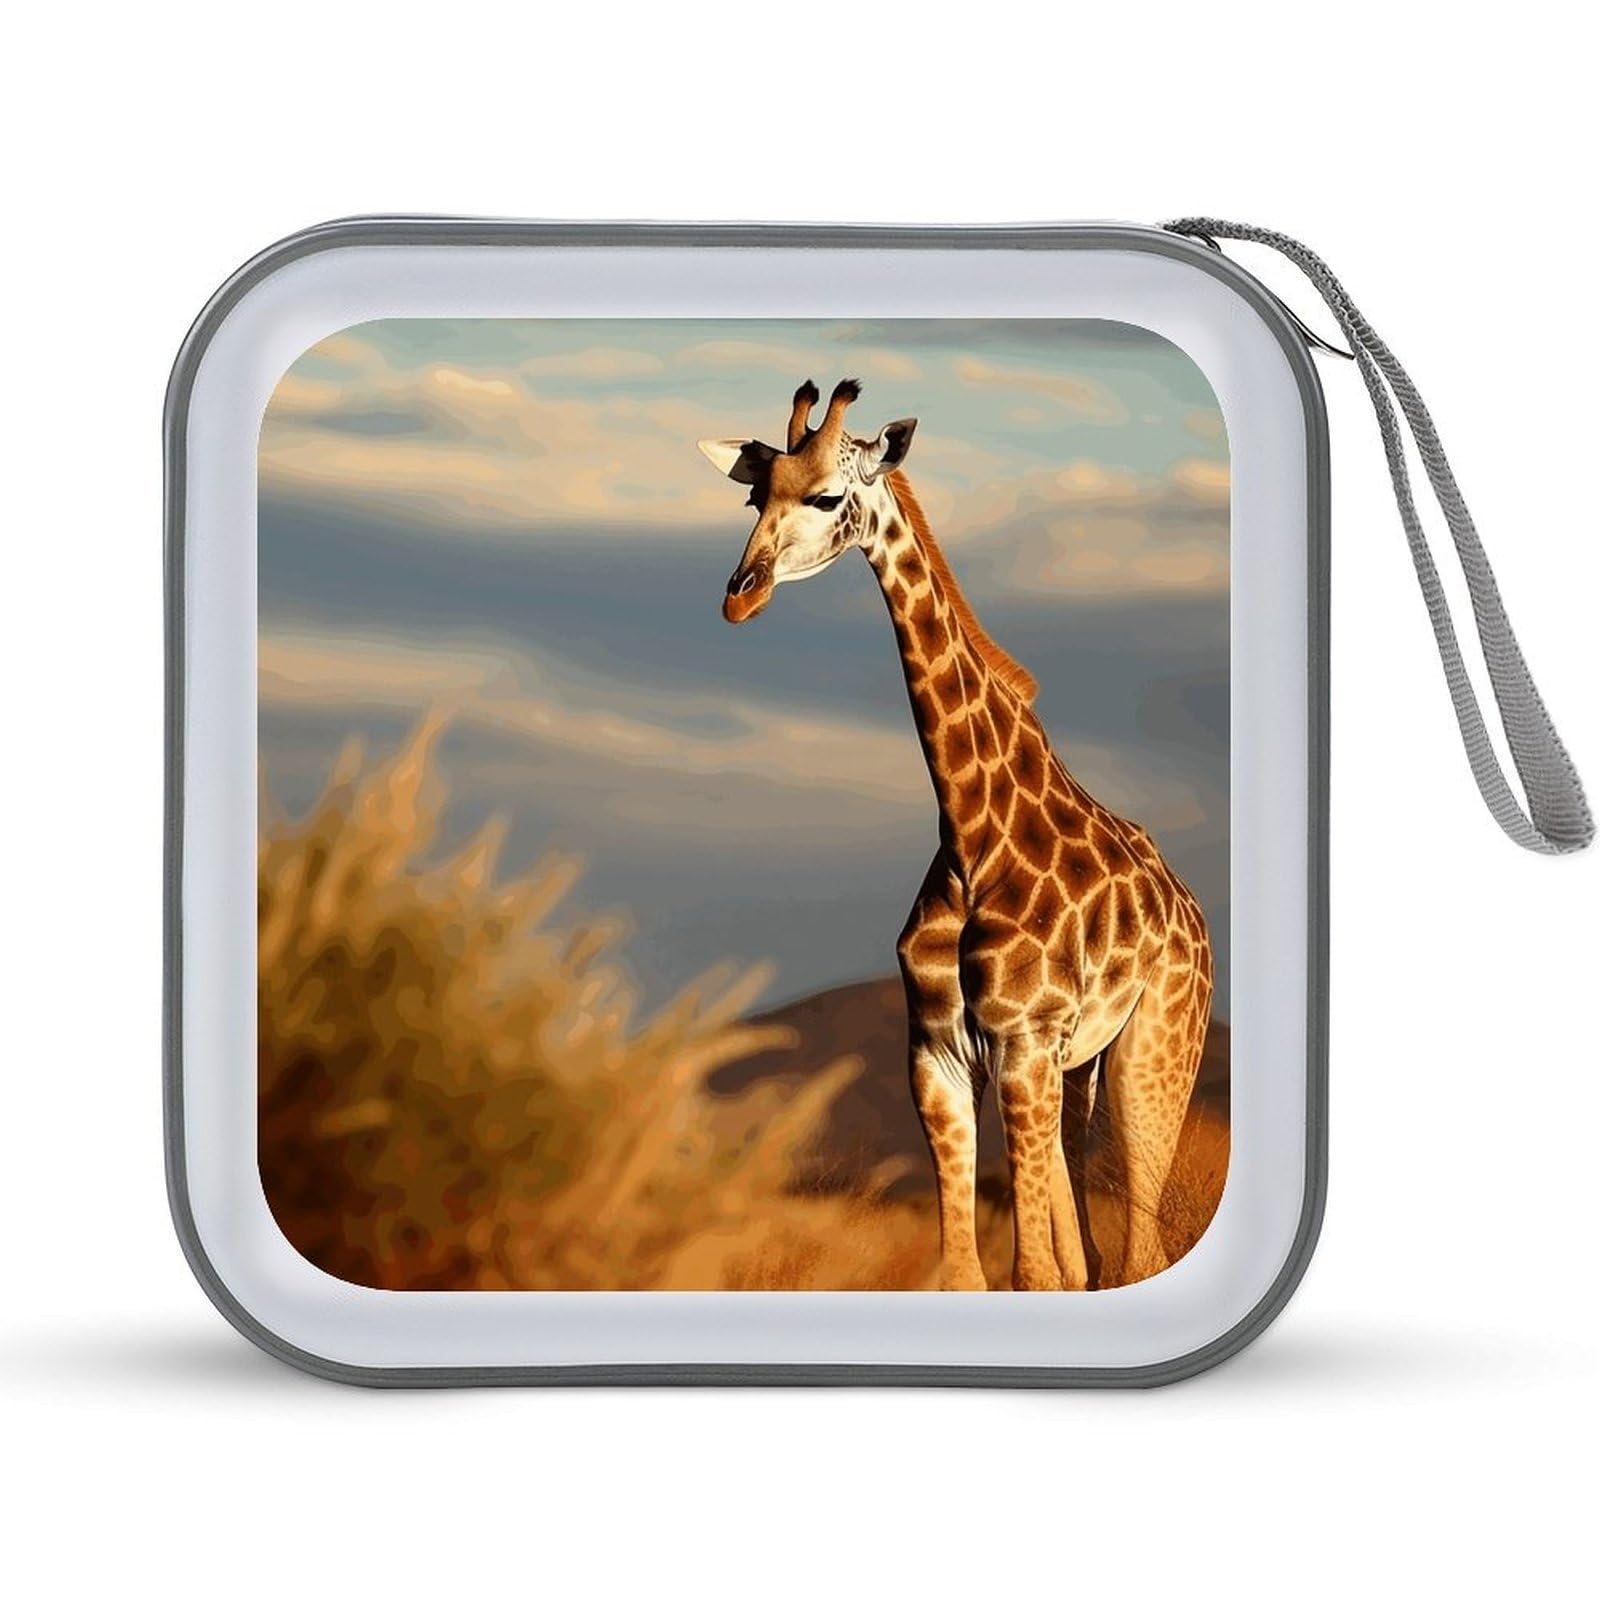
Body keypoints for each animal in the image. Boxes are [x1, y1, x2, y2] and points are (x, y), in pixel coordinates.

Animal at [699, 379, 1214, 1291]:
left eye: (826, 496)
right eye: (757, 496)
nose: (740, 594)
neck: (972, 833)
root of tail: (1193, 917)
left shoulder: (1022, 1043)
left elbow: (1033, 1273)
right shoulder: (937, 1054)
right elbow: (972, 1272)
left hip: (1153, 1056)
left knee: (1141, 1249)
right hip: (1078, 1072)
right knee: (1094, 1257)